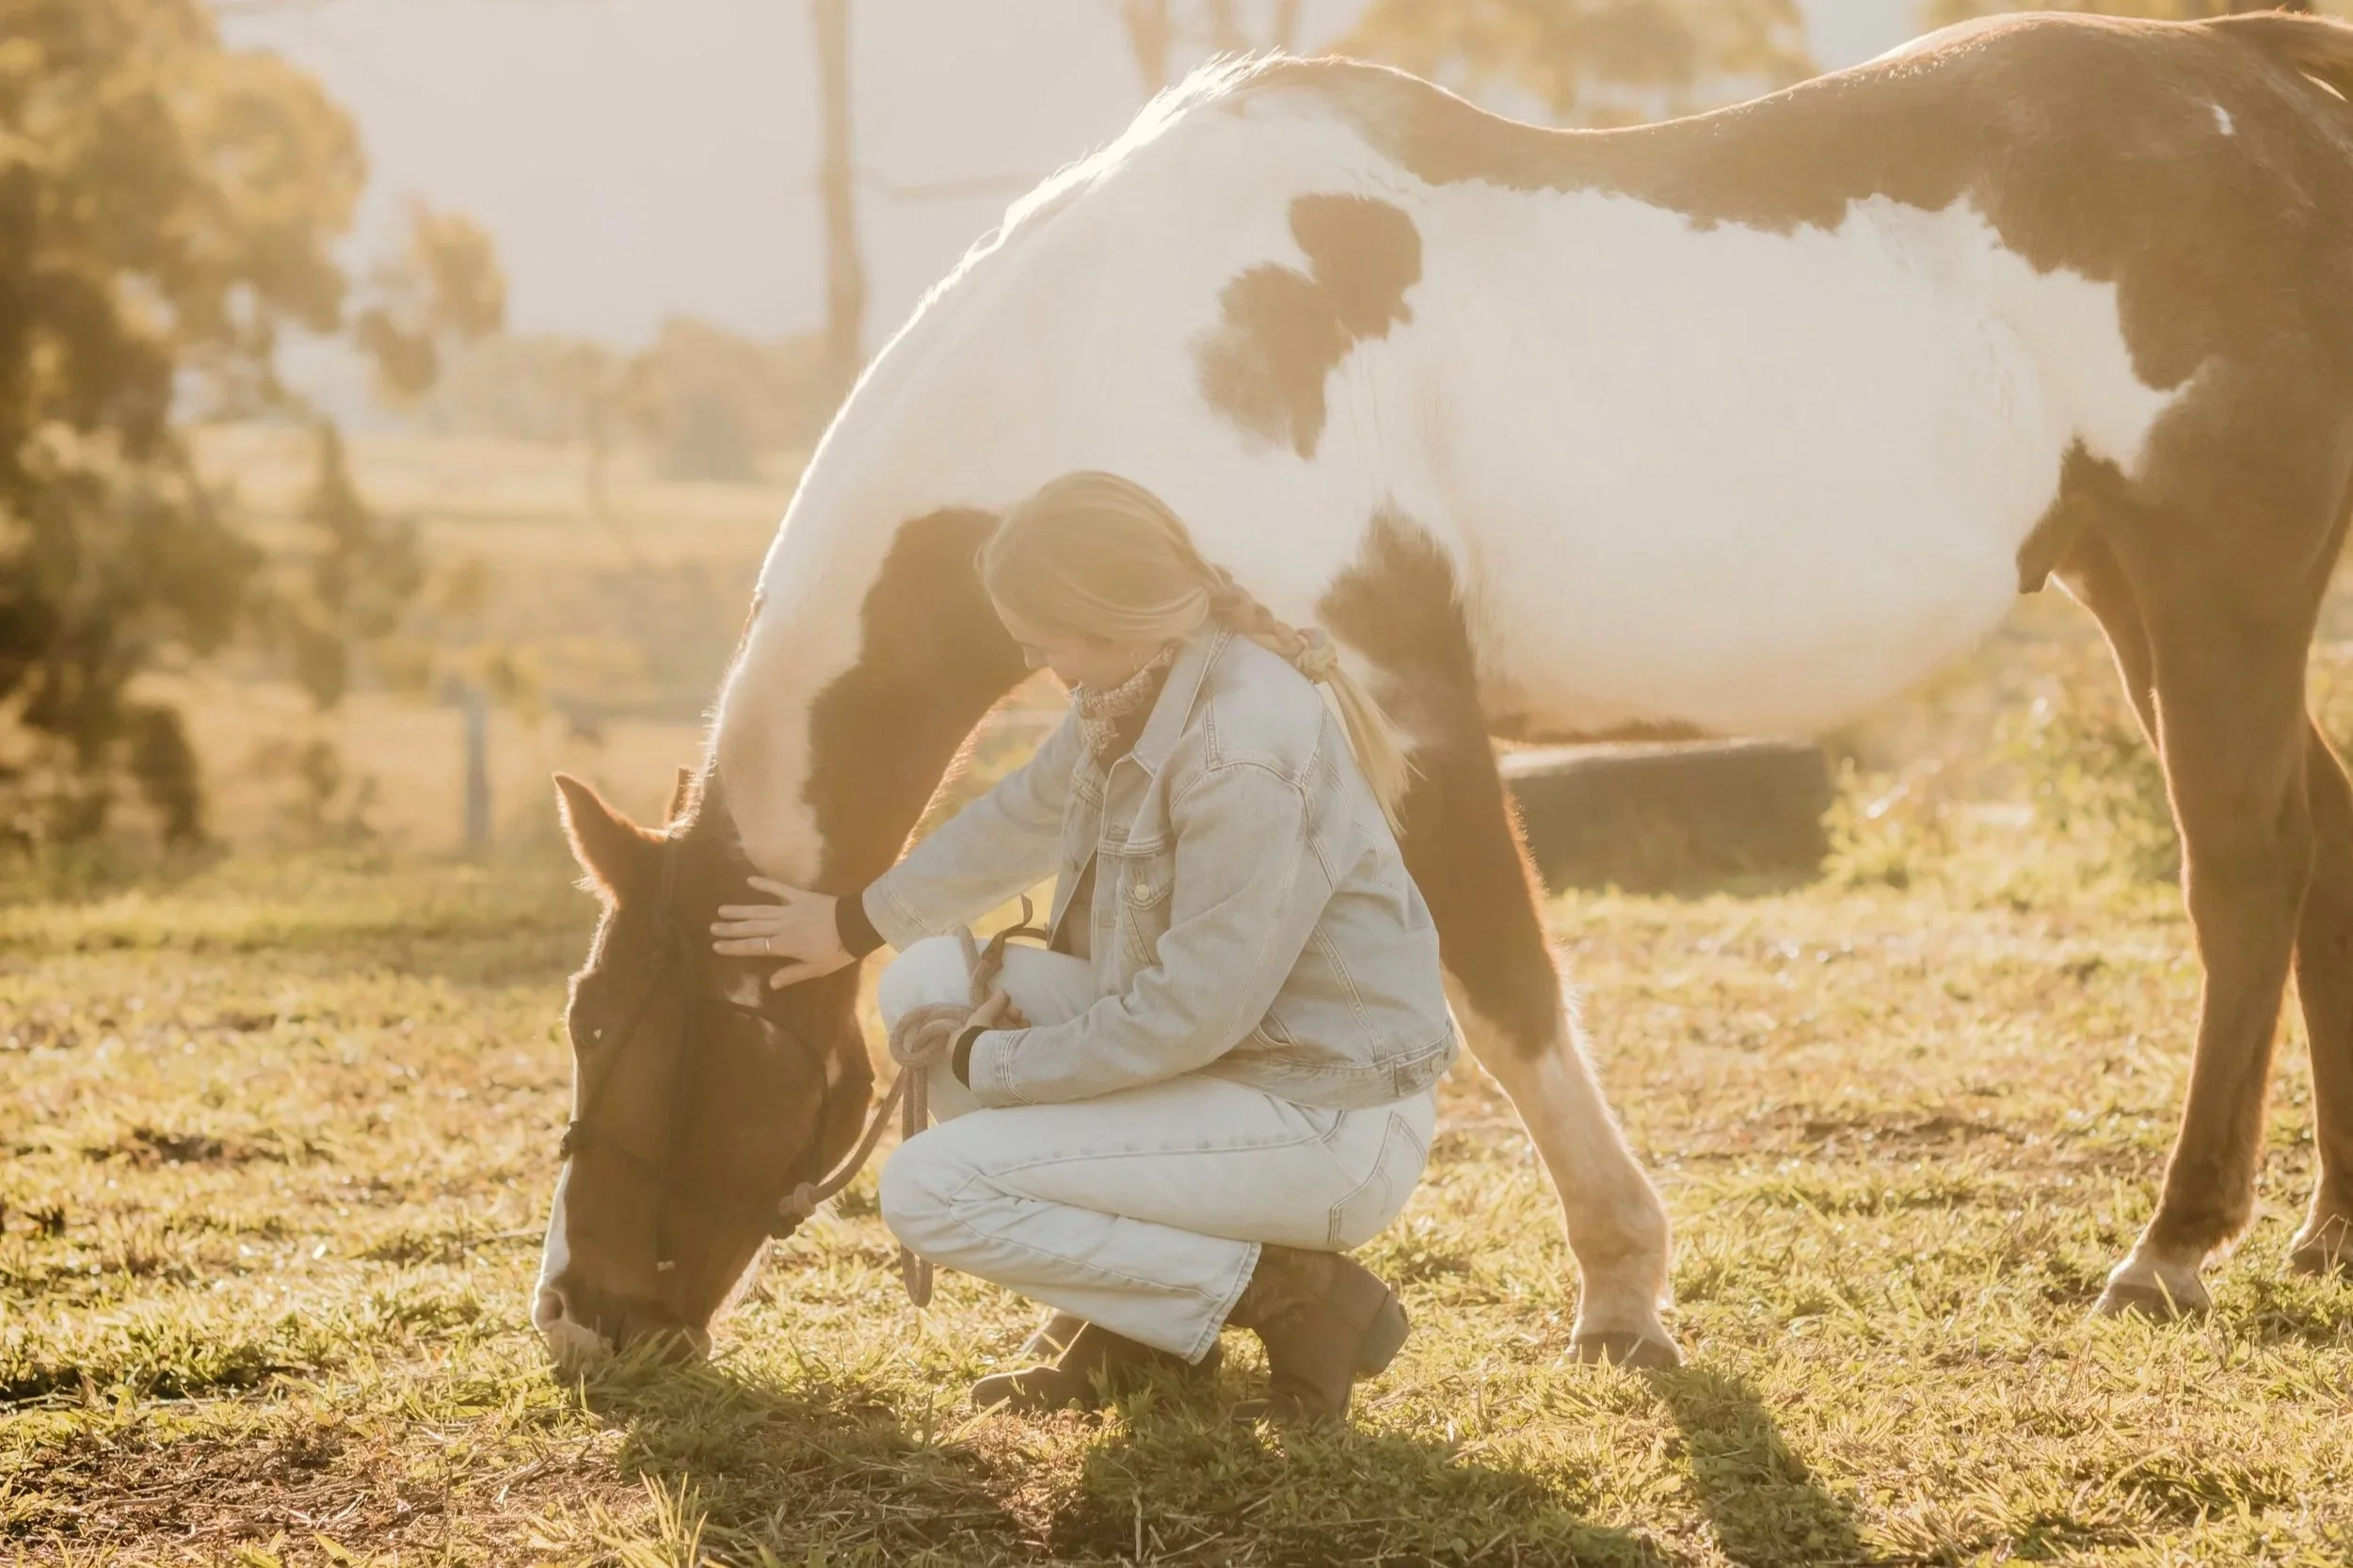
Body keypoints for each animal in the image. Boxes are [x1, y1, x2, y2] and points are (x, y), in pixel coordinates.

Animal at [533, 10, 2353, 1371]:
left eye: (650, 1040)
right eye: (581, 1022)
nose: (579, 1321)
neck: (1133, 342)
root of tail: (2251, 78)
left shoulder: (1397, 692)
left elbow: (1501, 983)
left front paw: (1621, 1290)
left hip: (2216, 592)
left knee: (2245, 871)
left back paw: (2174, 1248)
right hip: (2145, 593)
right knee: (2317, 842)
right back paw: (2325, 1231)